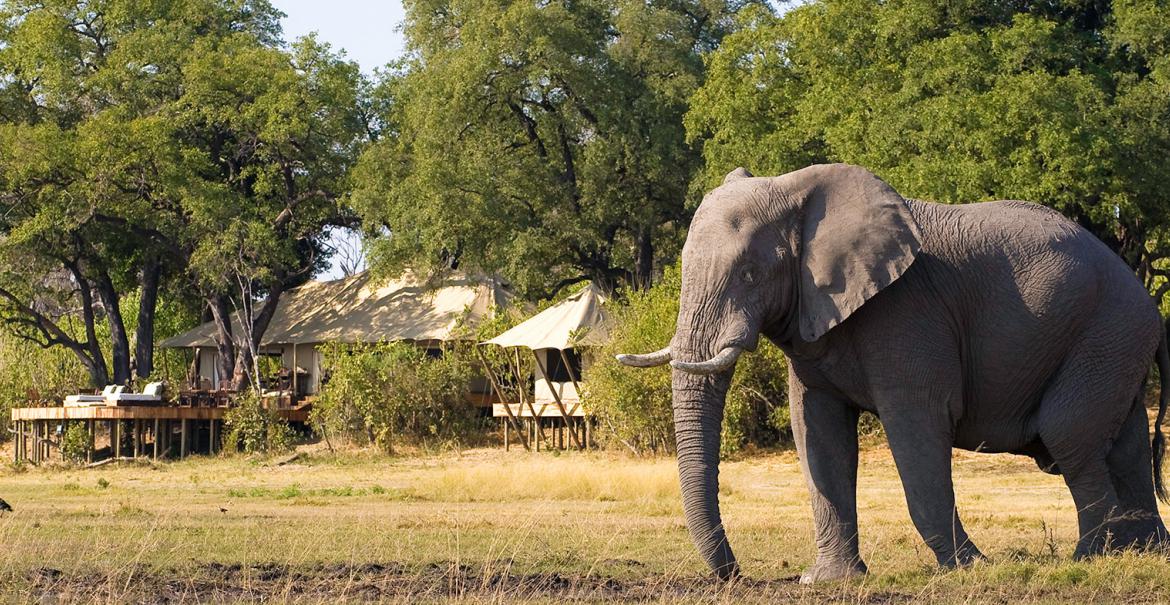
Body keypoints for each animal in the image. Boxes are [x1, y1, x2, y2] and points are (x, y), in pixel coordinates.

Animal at [617, 162, 1165, 582]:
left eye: (750, 274)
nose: (737, 575)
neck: (797, 191)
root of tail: (1147, 299)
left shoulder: (908, 312)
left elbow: (916, 427)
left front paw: (969, 568)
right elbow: (817, 433)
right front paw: (830, 581)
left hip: (1106, 330)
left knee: (1068, 435)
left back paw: (1090, 559)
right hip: (1115, 342)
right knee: (1126, 444)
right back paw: (1147, 552)